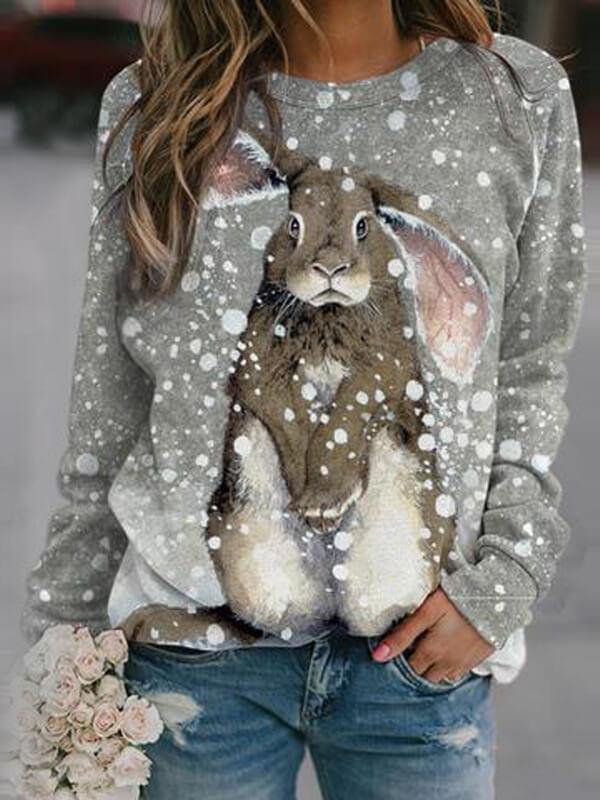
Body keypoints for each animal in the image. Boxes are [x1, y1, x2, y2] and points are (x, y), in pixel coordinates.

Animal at [201, 121, 493, 638]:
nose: (330, 269)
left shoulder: (388, 369)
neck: (328, 314)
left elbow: (349, 408)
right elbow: (285, 409)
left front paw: (324, 505)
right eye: (293, 223)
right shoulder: (257, 365)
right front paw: (314, 507)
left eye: (363, 226)